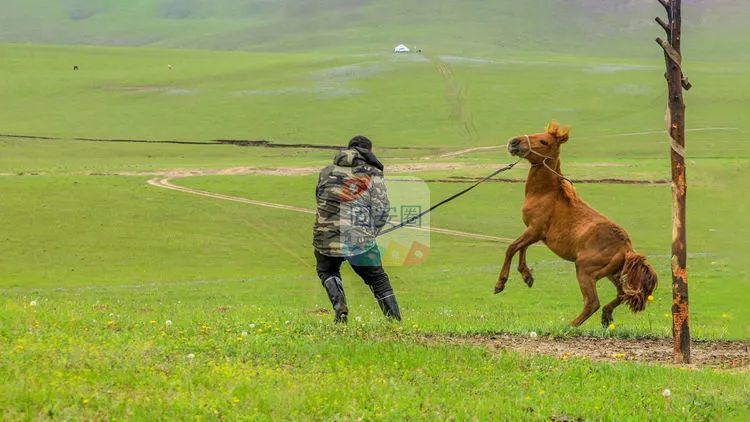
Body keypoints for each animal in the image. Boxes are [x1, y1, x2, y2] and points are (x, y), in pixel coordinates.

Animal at [496, 121, 660, 326]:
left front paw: (500, 283)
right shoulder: (533, 232)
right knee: (623, 293)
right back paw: (606, 316)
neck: (546, 193)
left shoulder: (535, 230)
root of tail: (627, 248)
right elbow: (521, 249)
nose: (514, 142)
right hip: (611, 273)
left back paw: (570, 326)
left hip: (585, 271)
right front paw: (527, 276)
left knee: (593, 302)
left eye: (543, 141)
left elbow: (511, 248)